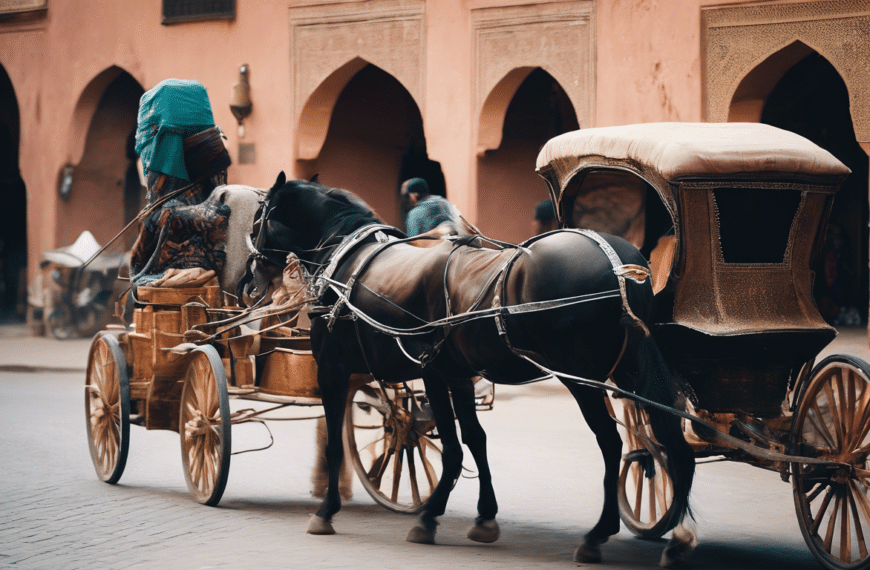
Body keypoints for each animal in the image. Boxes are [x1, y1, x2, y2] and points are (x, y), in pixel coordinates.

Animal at [249, 174, 700, 564]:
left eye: (257, 219)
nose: (250, 282)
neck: (348, 261)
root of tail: (621, 266)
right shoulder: (454, 374)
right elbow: (475, 439)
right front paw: (484, 516)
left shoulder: (343, 369)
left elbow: (419, 445)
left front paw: (335, 511)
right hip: (631, 367)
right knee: (666, 436)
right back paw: (676, 535)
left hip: (583, 378)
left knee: (611, 442)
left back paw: (598, 534)